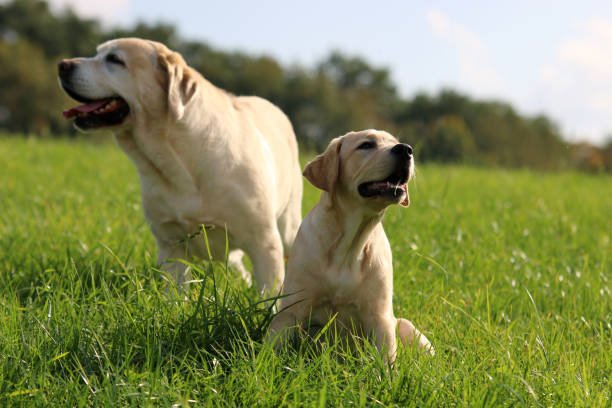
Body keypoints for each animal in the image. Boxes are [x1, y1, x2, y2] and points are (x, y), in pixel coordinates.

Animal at [58, 38, 302, 294]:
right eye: (97, 53)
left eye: (115, 59)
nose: (62, 65)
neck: (179, 161)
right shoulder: (171, 243)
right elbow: (175, 294)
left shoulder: (264, 241)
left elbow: (270, 294)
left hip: (289, 226)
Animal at [268, 129, 436, 362]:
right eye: (366, 145)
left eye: (396, 142)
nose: (406, 149)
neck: (350, 242)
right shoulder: (292, 308)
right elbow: (272, 347)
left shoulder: (380, 315)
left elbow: (386, 359)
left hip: (407, 327)